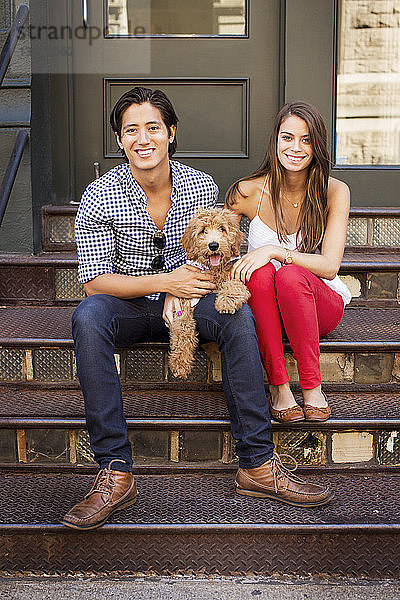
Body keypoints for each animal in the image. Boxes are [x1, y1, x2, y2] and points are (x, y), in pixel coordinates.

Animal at [168, 209, 250, 378]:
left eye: (222, 229)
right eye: (203, 231)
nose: (213, 245)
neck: (214, 270)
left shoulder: (235, 278)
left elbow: (234, 285)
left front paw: (225, 301)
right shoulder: (187, 298)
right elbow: (182, 328)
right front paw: (179, 363)